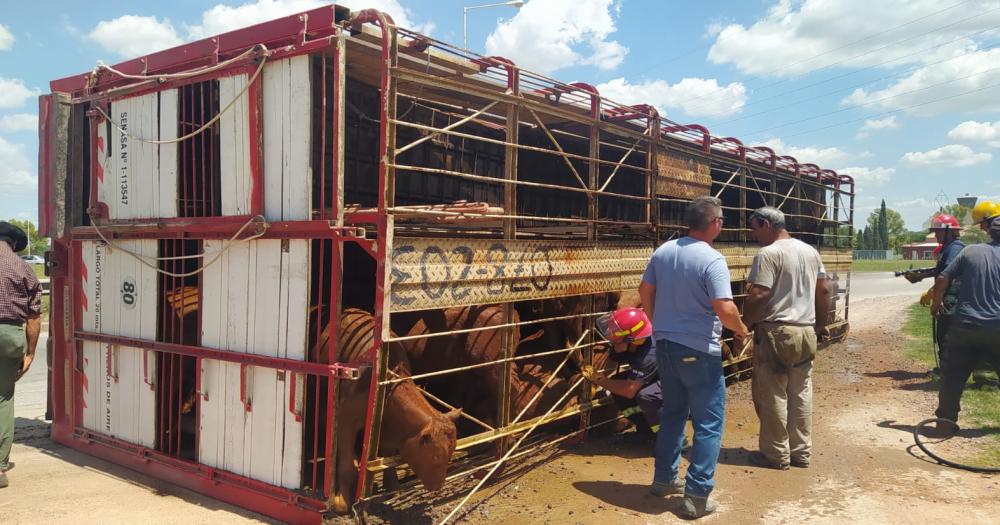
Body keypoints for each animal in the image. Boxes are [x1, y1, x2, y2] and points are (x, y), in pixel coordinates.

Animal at [320, 308, 460, 512]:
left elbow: (386, 457)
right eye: (435, 456)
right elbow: (345, 461)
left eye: (452, 451)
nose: (437, 486)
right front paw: (341, 501)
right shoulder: (347, 416)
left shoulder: (388, 425)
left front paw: (393, 487)